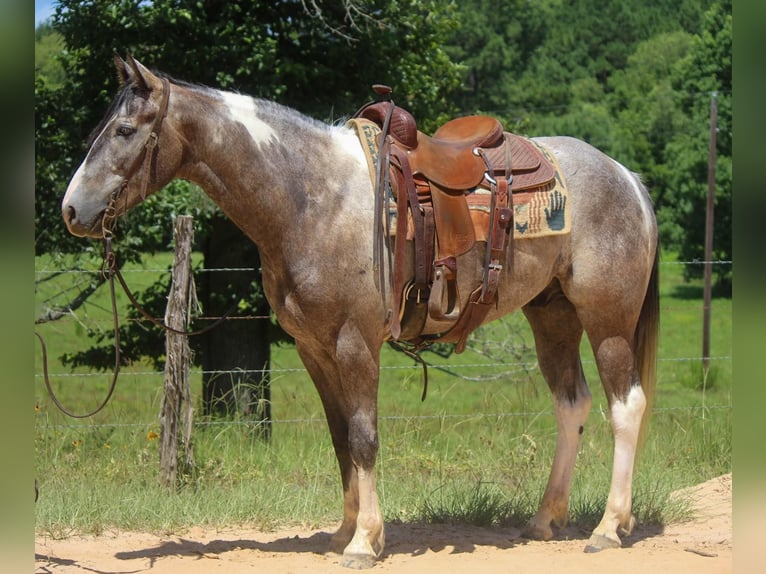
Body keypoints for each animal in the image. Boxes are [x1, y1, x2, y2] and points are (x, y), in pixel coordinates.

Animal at [61, 56, 660, 568]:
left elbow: (365, 436)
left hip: (607, 320)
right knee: (571, 404)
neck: (309, 198)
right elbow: (340, 436)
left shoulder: (354, 343)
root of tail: (626, 177)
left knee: (625, 406)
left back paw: (610, 527)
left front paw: (365, 541)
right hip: (552, 315)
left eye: (125, 130)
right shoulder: (314, 349)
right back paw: (545, 519)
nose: (71, 210)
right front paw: (345, 531)